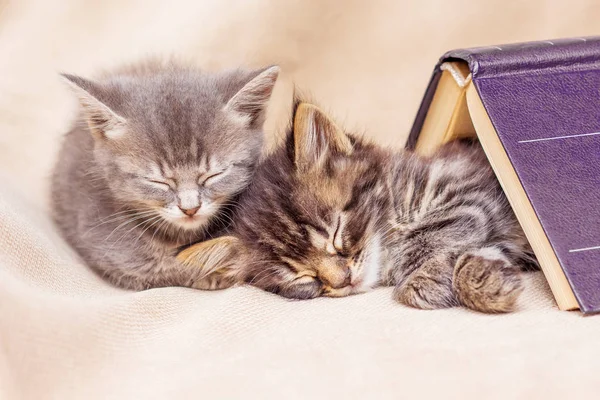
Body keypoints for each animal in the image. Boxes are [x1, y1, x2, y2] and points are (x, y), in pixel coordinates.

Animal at [180, 102, 536, 312]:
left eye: (335, 233)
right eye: (300, 275)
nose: (342, 281)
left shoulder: (468, 189)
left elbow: (432, 234)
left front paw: (422, 281)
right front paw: (490, 282)